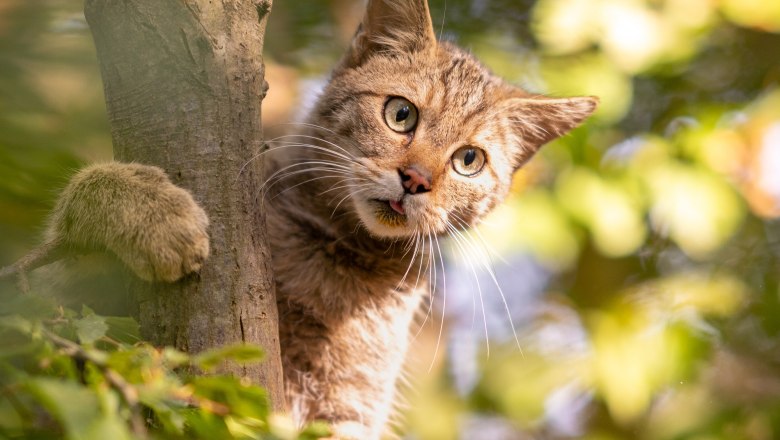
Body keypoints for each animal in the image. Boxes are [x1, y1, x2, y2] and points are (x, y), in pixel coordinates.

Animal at [38, 0, 596, 438]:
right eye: (401, 114)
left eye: (469, 161)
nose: (415, 179)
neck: (333, 253)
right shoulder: (62, 304)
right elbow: (77, 208)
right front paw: (156, 214)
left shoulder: (350, 404)